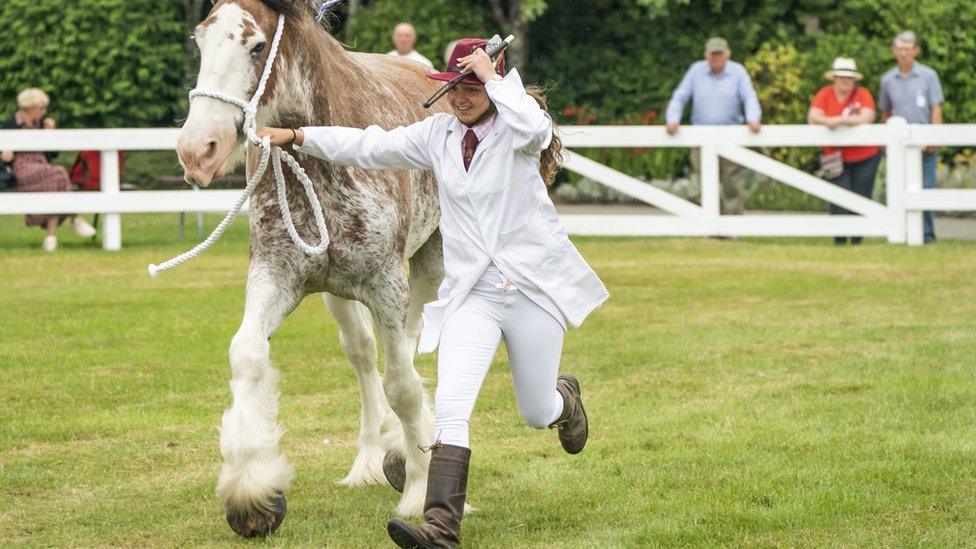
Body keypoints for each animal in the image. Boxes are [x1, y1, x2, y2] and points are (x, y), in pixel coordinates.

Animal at [176, 0, 446, 536]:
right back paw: (370, 459)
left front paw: (419, 491)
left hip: (431, 262)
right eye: (200, 40)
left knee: (407, 346)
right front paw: (252, 491)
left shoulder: (386, 281)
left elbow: (404, 385)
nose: (198, 150)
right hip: (336, 295)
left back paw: (400, 446)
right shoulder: (276, 275)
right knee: (364, 355)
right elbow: (247, 355)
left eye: (257, 45)